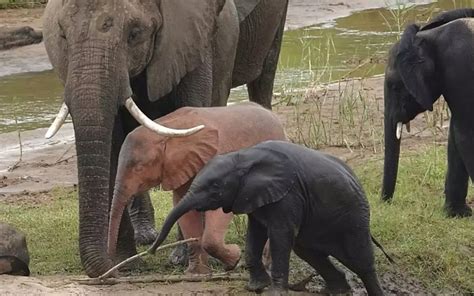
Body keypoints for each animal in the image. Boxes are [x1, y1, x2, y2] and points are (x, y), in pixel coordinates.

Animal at [42, 0, 290, 278]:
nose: (110, 271)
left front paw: (180, 260)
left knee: (263, 79)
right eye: (63, 36)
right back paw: (145, 238)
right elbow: (114, 142)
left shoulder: (197, 38)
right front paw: (126, 263)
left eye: (134, 34)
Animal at [150, 140, 390, 294]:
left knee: (362, 261)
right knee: (307, 251)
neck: (243, 156)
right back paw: (337, 290)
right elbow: (255, 235)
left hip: (354, 216)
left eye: (215, 188)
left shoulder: (289, 194)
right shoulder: (254, 196)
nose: (151, 251)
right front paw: (255, 287)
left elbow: (280, 235)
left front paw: (274, 292)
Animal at [382, 9, 474, 217]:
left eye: (394, 86)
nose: (384, 202)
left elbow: (465, 135)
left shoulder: (460, 69)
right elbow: (455, 136)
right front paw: (457, 213)